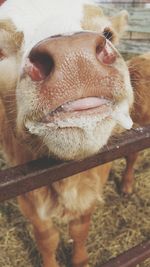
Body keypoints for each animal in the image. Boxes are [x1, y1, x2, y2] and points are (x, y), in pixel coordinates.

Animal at [0, 1, 134, 266]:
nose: (73, 55)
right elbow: (47, 238)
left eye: (108, 33)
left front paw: (80, 258)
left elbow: (80, 229)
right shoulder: (28, 198)